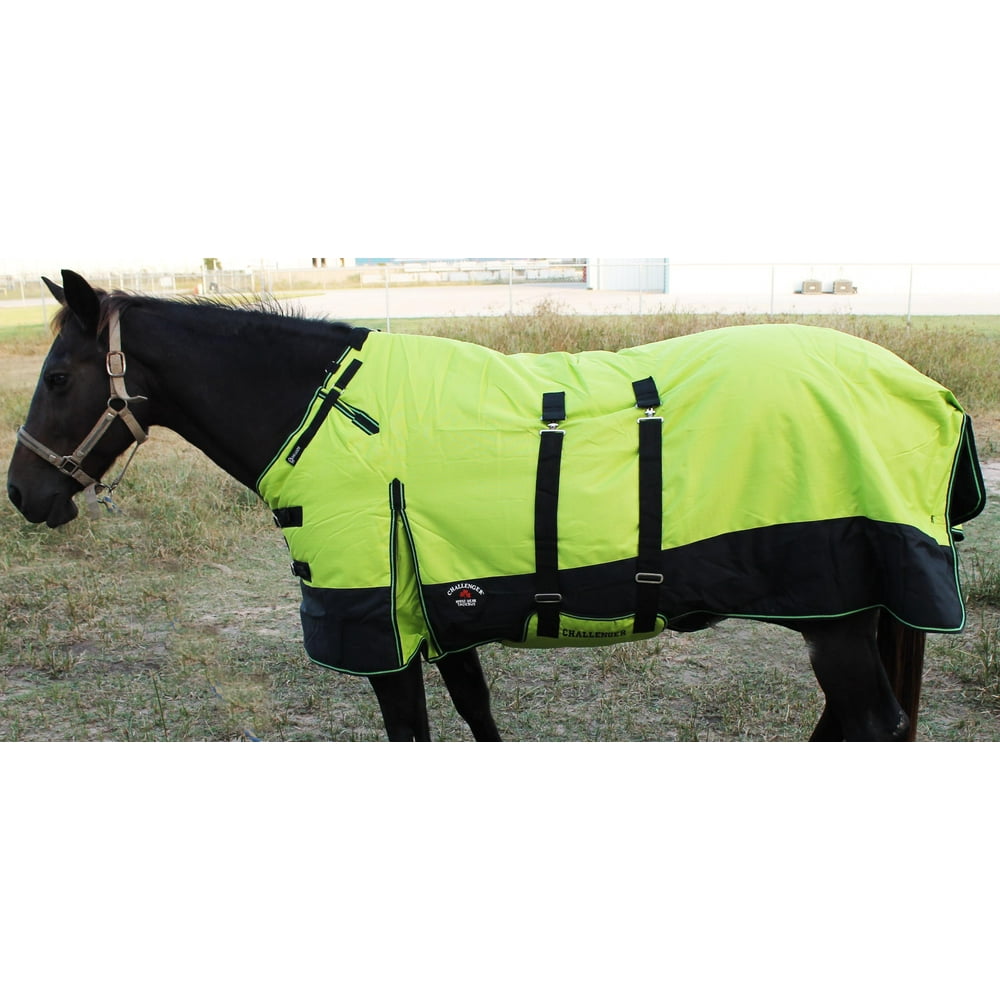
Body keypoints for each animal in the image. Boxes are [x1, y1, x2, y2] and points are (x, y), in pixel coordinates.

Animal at [7, 270, 986, 741]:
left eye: (56, 379)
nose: (24, 493)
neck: (328, 413)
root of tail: (926, 391)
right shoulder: (442, 615)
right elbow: (479, 718)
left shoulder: (381, 630)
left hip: (834, 617)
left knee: (868, 724)